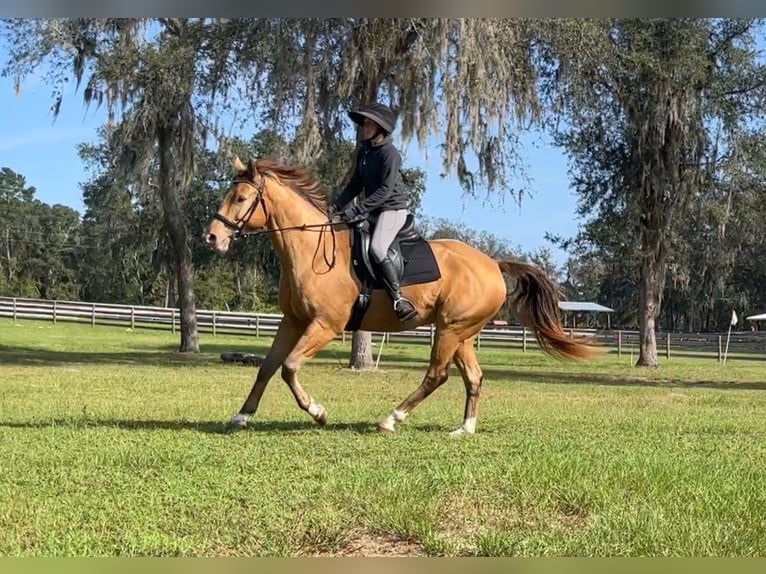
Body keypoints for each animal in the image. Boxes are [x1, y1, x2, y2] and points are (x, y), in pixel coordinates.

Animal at [206, 158, 608, 436]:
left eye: (240, 198)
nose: (212, 237)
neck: (310, 251)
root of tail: (492, 264)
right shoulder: (294, 321)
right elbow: (268, 367)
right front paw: (241, 415)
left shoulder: (324, 325)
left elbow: (289, 367)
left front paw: (318, 412)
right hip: (461, 333)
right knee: (473, 377)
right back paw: (464, 429)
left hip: (449, 330)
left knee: (437, 375)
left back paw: (391, 419)